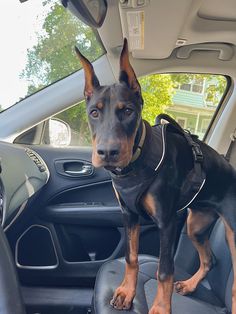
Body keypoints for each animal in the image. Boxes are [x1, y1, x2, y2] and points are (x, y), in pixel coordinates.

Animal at [75, 39, 236, 314]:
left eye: (127, 111)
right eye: (94, 112)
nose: (108, 153)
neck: (136, 164)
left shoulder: (166, 222)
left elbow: (164, 270)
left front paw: (160, 307)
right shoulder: (129, 214)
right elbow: (131, 257)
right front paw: (126, 292)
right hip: (196, 224)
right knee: (209, 260)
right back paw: (190, 285)